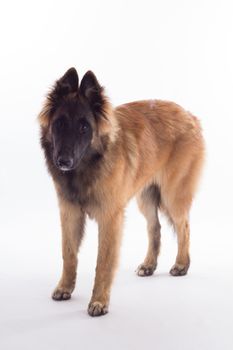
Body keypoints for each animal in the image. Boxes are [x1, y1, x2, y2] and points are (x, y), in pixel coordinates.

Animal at [38, 68, 204, 318]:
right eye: (59, 124)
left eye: (84, 127)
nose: (63, 161)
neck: (88, 166)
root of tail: (190, 116)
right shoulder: (70, 214)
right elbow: (69, 254)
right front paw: (65, 287)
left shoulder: (110, 218)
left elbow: (103, 262)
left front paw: (99, 301)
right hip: (146, 198)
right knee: (155, 228)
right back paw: (149, 265)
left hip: (172, 196)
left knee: (184, 226)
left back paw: (182, 264)